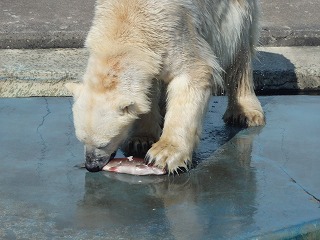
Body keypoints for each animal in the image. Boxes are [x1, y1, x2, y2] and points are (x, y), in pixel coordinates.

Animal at [65, 0, 264, 172]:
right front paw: (141, 139)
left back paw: (244, 112)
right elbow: (147, 91)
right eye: (82, 140)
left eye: (104, 143)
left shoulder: (173, 30)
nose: (91, 165)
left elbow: (194, 73)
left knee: (238, 44)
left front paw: (164, 154)